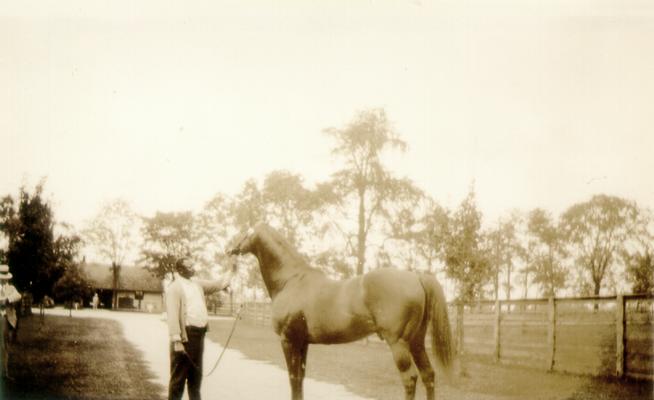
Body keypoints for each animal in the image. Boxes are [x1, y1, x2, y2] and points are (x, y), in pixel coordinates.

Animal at [228, 222, 454, 400]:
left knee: (410, 379)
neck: (291, 280)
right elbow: (300, 377)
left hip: (399, 344)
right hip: (417, 342)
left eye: (244, 232)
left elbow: (293, 378)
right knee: (428, 375)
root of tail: (416, 276)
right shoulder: (302, 343)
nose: (229, 249)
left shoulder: (288, 340)